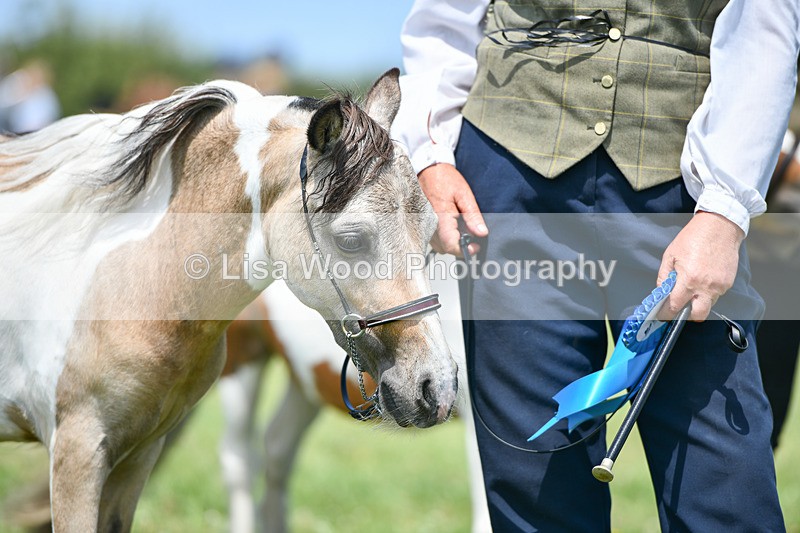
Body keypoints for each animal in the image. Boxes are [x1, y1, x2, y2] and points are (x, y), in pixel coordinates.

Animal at [0, 69, 458, 531]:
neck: (127, 278)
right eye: (351, 240)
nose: (436, 388)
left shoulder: (137, 455)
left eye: (431, 234)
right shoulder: (77, 452)